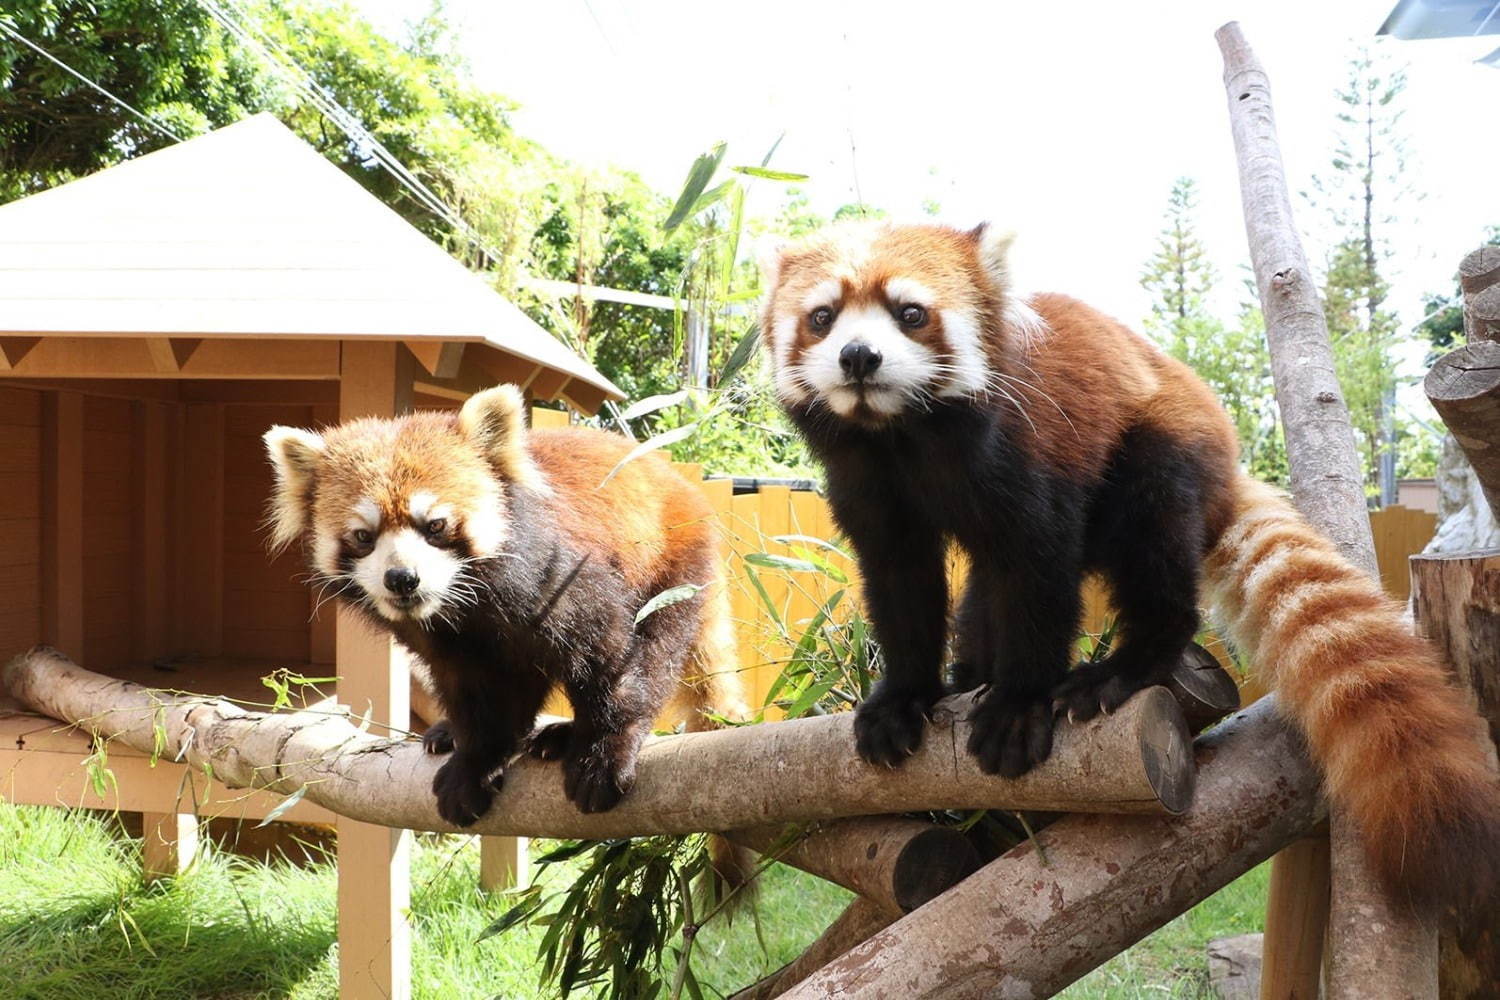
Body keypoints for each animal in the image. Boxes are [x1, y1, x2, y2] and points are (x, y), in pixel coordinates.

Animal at [264, 383, 750, 827]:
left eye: (435, 525)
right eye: (364, 536)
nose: (402, 578)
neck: (469, 605)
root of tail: (683, 485)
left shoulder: (563, 579)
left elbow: (614, 662)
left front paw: (603, 754)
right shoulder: (449, 643)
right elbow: (476, 697)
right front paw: (473, 767)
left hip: (671, 570)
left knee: (656, 647)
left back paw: (565, 734)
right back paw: (456, 733)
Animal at [762, 220, 1500, 917]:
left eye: (910, 312)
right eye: (823, 316)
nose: (859, 356)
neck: (901, 437)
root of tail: (1225, 465)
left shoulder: (1029, 455)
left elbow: (1038, 577)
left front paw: (1019, 707)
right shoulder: (869, 488)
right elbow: (902, 588)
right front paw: (904, 698)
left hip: (1157, 452)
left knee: (1156, 560)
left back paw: (1120, 669)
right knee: (981, 601)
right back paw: (973, 673)